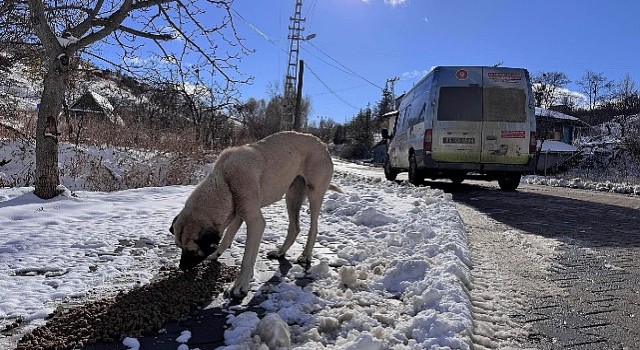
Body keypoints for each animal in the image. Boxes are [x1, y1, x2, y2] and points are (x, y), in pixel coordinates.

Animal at [169, 131, 340, 298]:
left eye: (192, 251)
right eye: (179, 247)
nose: (182, 267)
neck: (225, 181)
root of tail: (323, 145)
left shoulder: (255, 222)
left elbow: (247, 258)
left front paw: (240, 285)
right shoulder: (238, 213)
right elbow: (227, 237)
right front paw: (216, 254)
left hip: (314, 194)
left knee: (313, 227)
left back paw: (306, 255)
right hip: (292, 196)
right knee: (295, 228)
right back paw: (280, 252)